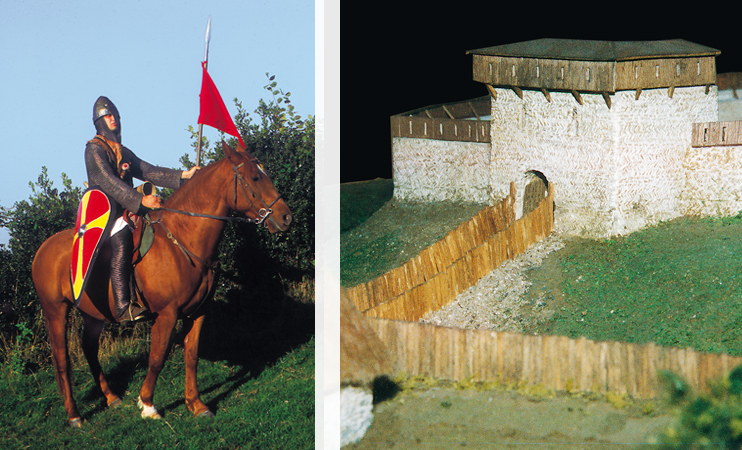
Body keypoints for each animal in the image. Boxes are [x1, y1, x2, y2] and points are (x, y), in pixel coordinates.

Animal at [32, 142, 294, 428]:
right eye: (255, 177)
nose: (286, 217)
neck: (182, 238)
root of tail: (42, 250)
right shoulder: (166, 315)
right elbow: (157, 358)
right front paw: (147, 405)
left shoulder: (197, 312)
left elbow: (191, 356)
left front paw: (196, 405)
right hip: (56, 310)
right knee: (62, 359)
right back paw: (74, 415)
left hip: (94, 314)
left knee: (89, 350)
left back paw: (112, 398)